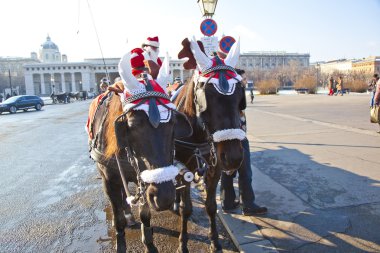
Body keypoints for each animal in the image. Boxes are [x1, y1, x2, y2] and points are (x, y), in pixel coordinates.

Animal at [87, 52, 191, 253]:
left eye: (173, 123)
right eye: (133, 125)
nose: (164, 197)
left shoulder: (142, 179)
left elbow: (145, 213)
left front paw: (148, 241)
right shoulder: (108, 179)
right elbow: (117, 213)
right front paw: (120, 240)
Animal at [172, 37, 246, 253]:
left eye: (240, 96)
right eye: (208, 96)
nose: (233, 158)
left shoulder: (215, 168)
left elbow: (211, 206)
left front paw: (215, 240)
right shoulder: (184, 169)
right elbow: (186, 208)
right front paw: (183, 242)